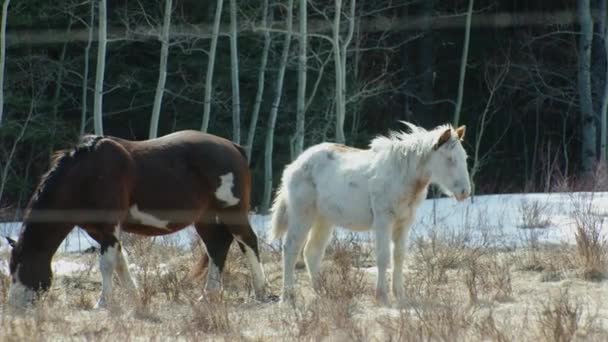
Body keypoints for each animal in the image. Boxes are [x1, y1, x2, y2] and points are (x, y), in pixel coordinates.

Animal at [7, 130, 268, 308]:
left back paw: (261, 291)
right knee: (217, 247)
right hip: (205, 218)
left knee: (248, 242)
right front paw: (133, 298)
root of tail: (233, 147)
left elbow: (107, 264)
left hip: (232, 212)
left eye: (22, 267)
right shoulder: (99, 231)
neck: (87, 174)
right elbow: (120, 263)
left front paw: (103, 303)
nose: (14, 307)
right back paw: (208, 295)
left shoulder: (109, 227)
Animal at [270, 122, 470, 304]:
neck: (404, 176)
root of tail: (293, 166)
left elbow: (399, 256)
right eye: (449, 159)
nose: (465, 192)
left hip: (323, 219)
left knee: (312, 252)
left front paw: (400, 295)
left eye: (464, 157)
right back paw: (288, 297)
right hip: (302, 214)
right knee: (291, 249)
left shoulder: (404, 222)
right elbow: (383, 257)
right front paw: (382, 297)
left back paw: (323, 293)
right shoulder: (383, 220)